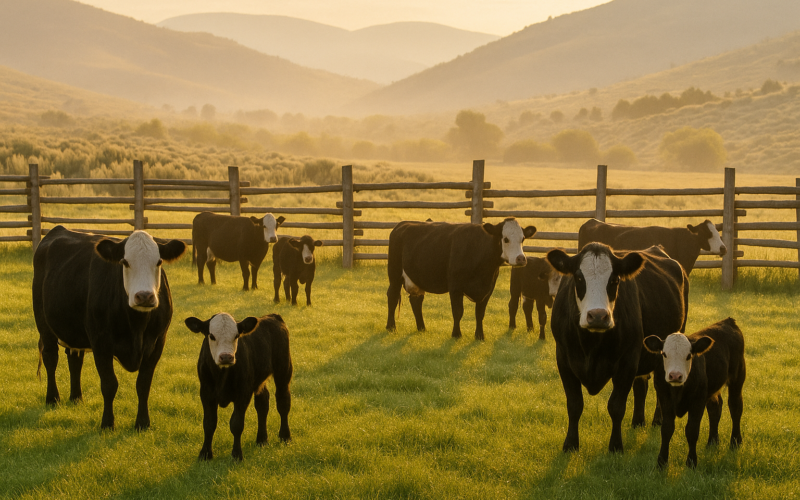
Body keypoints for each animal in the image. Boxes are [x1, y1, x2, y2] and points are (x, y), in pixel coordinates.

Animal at [32, 226, 186, 430]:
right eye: (125, 262)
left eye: (159, 261)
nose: (144, 296)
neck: (136, 327)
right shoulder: (101, 343)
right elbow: (109, 384)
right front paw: (107, 423)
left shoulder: (158, 343)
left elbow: (143, 385)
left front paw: (142, 423)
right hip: (44, 324)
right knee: (51, 358)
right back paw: (53, 398)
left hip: (75, 332)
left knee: (75, 360)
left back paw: (76, 397)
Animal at [185, 313, 293, 461]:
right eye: (211, 336)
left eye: (236, 336)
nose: (226, 357)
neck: (222, 375)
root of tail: (272, 316)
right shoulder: (206, 393)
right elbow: (209, 423)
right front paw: (205, 454)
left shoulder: (243, 393)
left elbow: (236, 424)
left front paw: (236, 455)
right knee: (262, 404)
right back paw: (262, 439)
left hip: (283, 369)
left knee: (283, 402)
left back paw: (285, 436)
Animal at [386, 218, 537, 340]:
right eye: (505, 239)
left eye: (523, 238)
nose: (521, 258)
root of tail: (402, 224)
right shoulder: (455, 288)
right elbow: (458, 312)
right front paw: (456, 334)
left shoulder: (488, 289)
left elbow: (480, 313)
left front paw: (479, 335)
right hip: (394, 274)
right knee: (392, 296)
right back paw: (391, 327)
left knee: (416, 301)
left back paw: (422, 328)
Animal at [547, 243, 687, 453]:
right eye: (578, 278)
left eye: (614, 279)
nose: (598, 316)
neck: (591, 345)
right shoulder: (564, 360)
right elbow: (574, 405)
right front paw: (570, 444)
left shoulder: (627, 362)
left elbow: (616, 406)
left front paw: (615, 445)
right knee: (641, 385)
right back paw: (638, 421)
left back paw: (658, 419)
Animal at [643, 318, 745, 469]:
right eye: (664, 354)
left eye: (689, 355)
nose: (675, 375)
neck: (678, 390)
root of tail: (728, 321)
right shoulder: (664, 398)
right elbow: (667, 429)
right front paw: (662, 462)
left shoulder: (698, 401)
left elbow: (692, 430)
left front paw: (691, 461)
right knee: (715, 409)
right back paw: (712, 442)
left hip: (737, 378)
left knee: (735, 407)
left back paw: (735, 442)